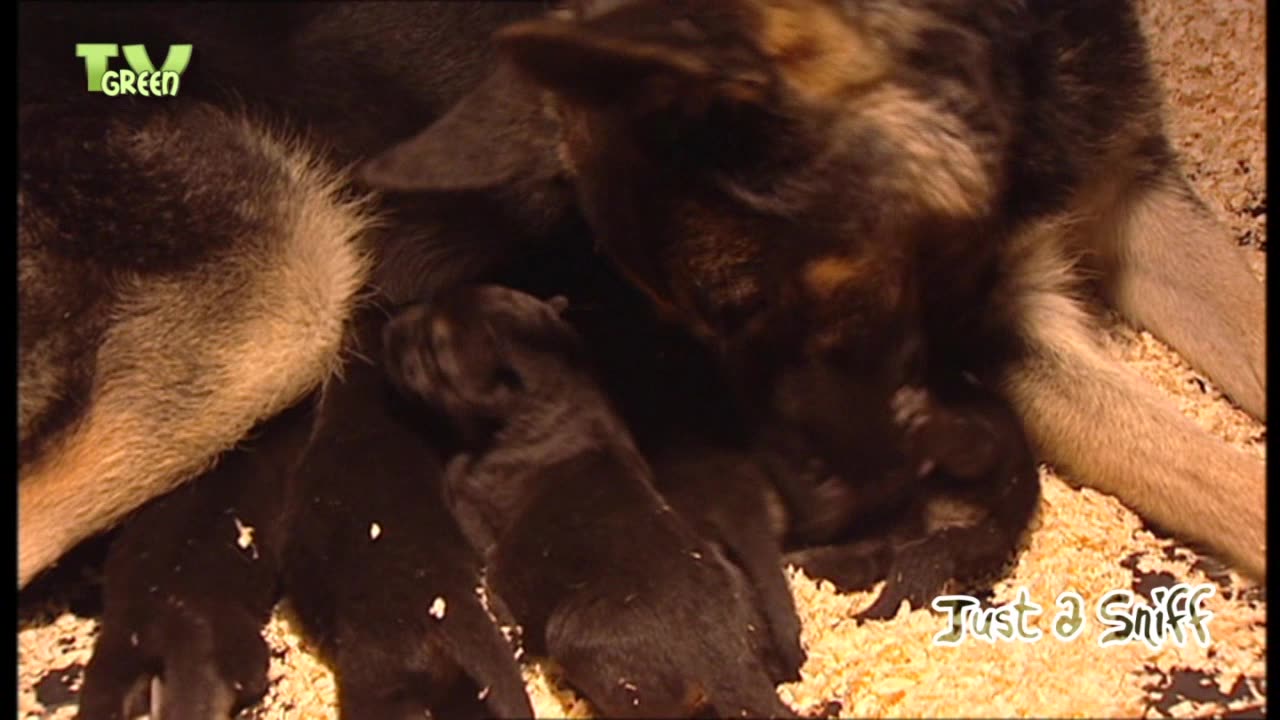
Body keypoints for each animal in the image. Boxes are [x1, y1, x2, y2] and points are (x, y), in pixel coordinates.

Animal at [384, 285, 793, 717]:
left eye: (433, 346)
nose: (388, 328)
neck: (556, 391)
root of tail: (722, 654)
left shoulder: (473, 500)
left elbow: (460, 480)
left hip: (576, 640)